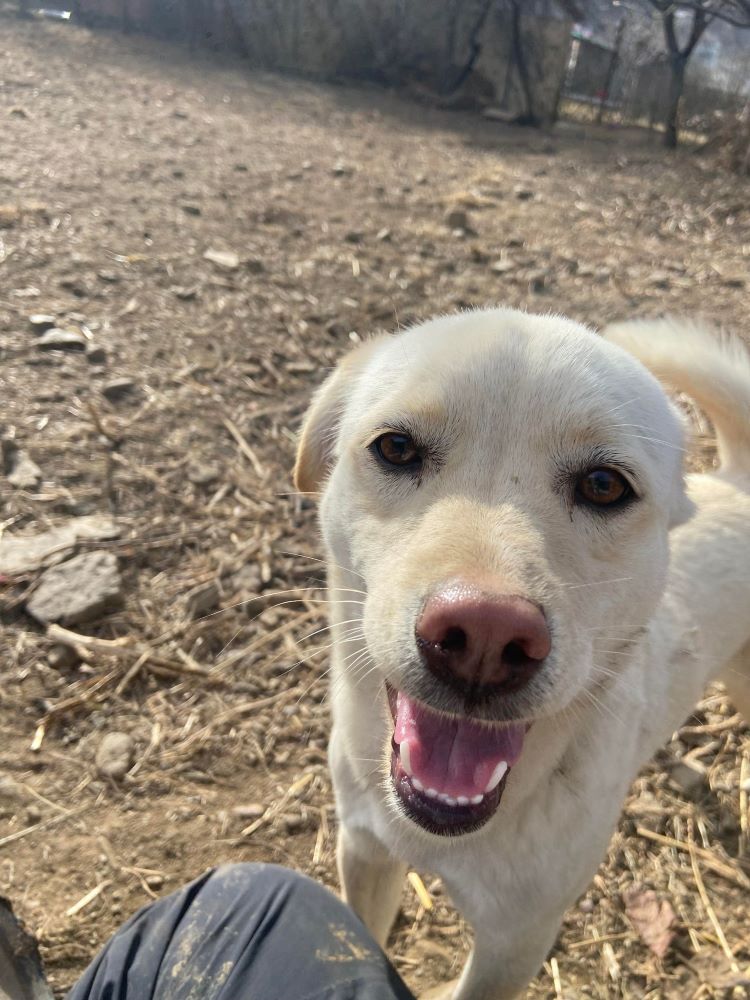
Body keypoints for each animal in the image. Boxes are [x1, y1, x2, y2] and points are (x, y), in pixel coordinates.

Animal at [294, 308, 750, 996]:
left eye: (604, 485)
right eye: (396, 448)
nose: (484, 635)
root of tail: (740, 484)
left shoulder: (517, 942)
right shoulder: (365, 852)